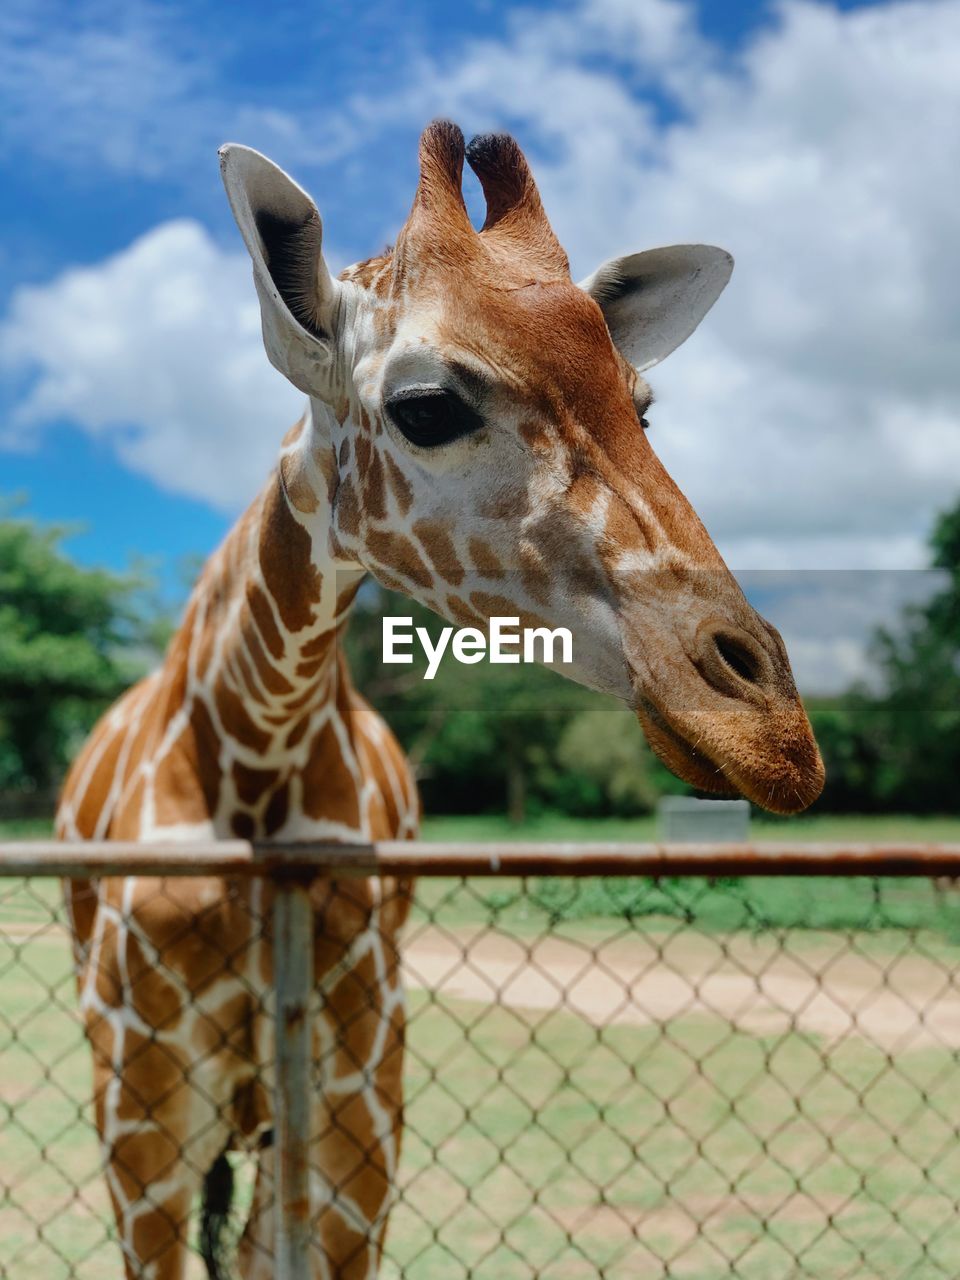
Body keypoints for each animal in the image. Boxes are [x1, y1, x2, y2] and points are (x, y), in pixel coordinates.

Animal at [58, 122, 829, 1280]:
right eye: (427, 407)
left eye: (641, 406)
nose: (772, 733)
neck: (251, 746)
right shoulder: (139, 1144)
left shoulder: (357, 1132)